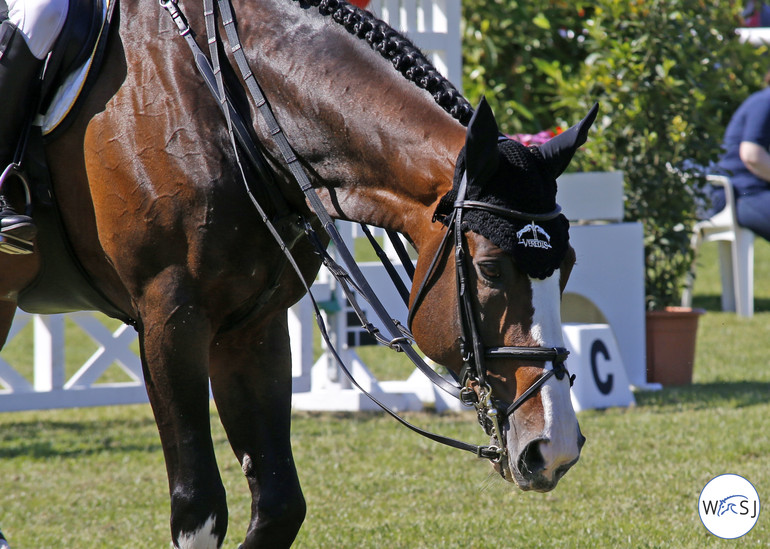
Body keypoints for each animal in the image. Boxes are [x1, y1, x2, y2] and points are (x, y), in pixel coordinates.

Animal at [0, 0, 592, 544]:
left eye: (567, 266)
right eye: (489, 269)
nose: (554, 449)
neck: (228, 105)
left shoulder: (252, 327)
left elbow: (280, 503)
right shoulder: (170, 319)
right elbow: (198, 509)